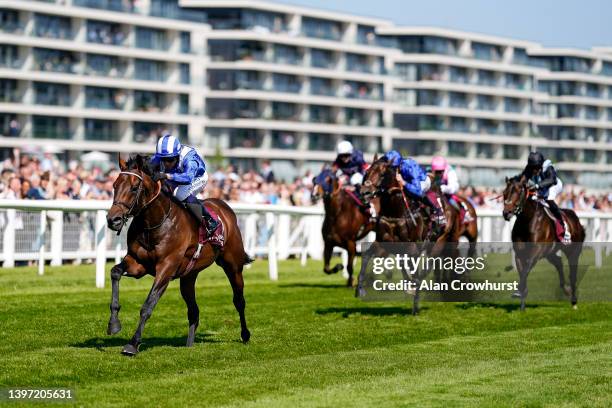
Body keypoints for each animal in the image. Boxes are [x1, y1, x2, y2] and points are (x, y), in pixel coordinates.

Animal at [105, 155, 251, 356]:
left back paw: (245, 334)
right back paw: (189, 344)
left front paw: (132, 344)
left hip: (233, 265)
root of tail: (224, 208)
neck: (155, 223)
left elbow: (148, 305)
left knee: (239, 300)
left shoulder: (166, 267)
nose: (113, 220)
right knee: (194, 311)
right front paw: (113, 324)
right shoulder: (137, 263)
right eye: (114, 185)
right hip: (189, 276)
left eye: (134, 188)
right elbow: (115, 272)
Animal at [504, 177, 584, 310]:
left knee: (572, 274)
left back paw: (573, 301)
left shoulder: (535, 254)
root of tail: (576, 219)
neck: (528, 220)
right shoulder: (519, 254)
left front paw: (519, 292)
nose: (506, 212)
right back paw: (565, 289)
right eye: (504, 192)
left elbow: (526, 270)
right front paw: (522, 303)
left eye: (518, 192)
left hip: (573, 252)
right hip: (549, 252)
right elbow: (522, 273)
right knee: (558, 263)